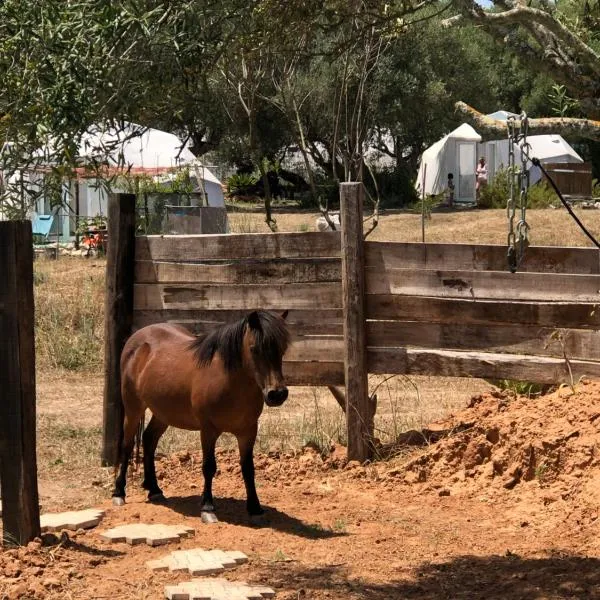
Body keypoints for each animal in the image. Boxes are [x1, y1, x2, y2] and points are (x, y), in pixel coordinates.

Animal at [113, 310, 292, 516]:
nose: (277, 394)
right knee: (127, 445)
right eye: (254, 349)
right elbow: (209, 467)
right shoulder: (208, 430)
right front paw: (207, 507)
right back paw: (119, 492)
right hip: (133, 408)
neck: (229, 382)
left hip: (163, 412)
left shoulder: (248, 431)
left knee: (149, 439)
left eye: (282, 349)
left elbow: (248, 468)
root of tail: (136, 339)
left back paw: (155, 490)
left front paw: (255, 506)